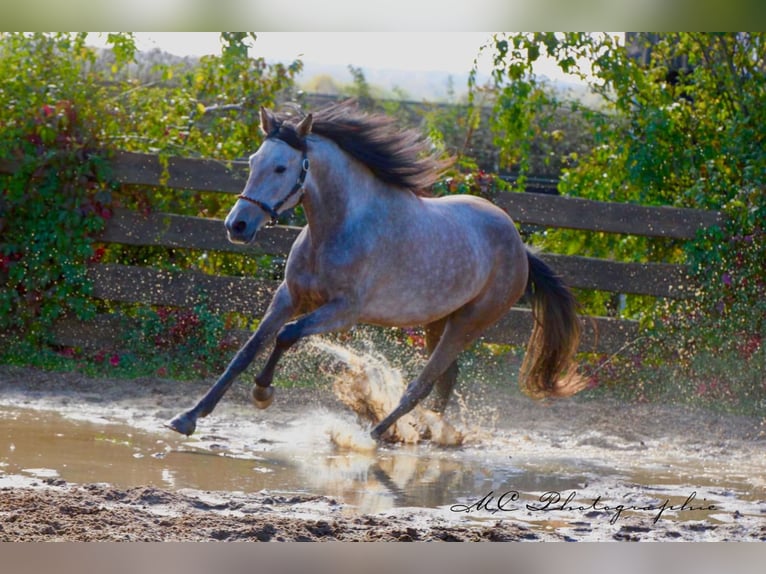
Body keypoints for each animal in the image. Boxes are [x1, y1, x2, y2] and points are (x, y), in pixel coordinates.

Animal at [167, 100, 586, 441]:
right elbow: (248, 349)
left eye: (281, 167)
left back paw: (379, 433)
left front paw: (262, 393)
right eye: (253, 162)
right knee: (446, 379)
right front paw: (188, 417)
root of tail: (520, 248)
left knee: (422, 383)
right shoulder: (290, 296)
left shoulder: (343, 312)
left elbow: (286, 336)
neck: (338, 228)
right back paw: (428, 432)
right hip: (438, 322)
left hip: (468, 323)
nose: (236, 226)